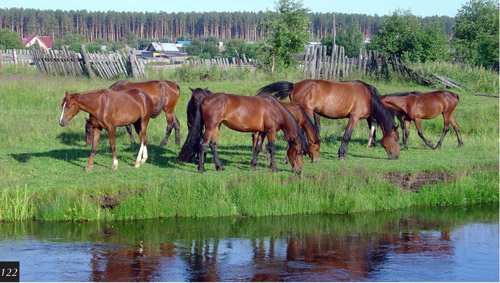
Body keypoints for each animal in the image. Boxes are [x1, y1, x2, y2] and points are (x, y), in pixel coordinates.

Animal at [176, 92, 308, 175]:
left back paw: (219, 167)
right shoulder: (270, 131)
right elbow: (272, 149)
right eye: (297, 152)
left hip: (217, 127)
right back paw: (202, 169)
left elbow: (257, 148)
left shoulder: (262, 132)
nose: (299, 171)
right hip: (210, 127)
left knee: (213, 145)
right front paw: (274, 167)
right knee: (202, 144)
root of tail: (205, 99)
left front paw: (253, 166)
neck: (274, 109)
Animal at [260, 79, 400, 160]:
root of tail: (295, 86)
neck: (367, 96)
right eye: (396, 139)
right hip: (306, 112)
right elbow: (347, 135)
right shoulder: (354, 117)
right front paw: (341, 154)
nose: (396, 156)